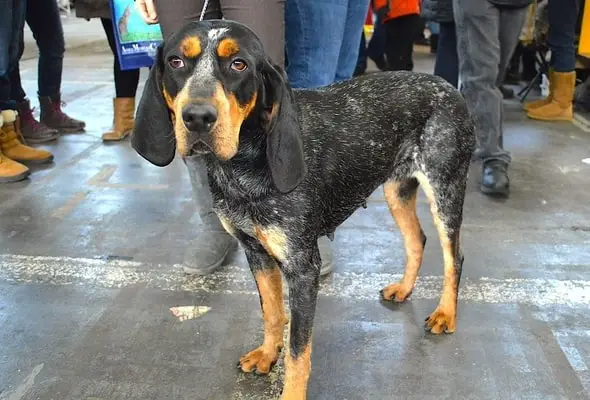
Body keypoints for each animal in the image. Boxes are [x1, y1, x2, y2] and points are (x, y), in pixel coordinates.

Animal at [132, 18, 478, 396]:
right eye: (176, 62)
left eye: (239, 65)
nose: (197, 117)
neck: (244, 165)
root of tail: (448, 86)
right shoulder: (257, 253)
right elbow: (272, 313)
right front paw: (267, 354)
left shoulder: (302, 267)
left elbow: (298, 350)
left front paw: (291, 393)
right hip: (396, 191)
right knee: (417, 240)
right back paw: (403, 288)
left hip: (445, 190)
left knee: (455, 257)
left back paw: (446, 313)